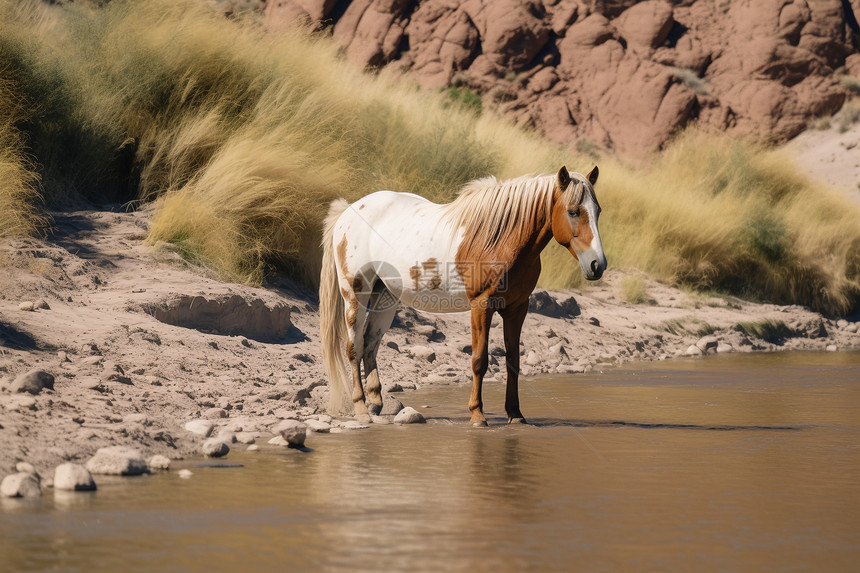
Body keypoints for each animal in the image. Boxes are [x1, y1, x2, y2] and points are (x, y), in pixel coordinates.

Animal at [320, 165, 608, 424]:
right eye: (573, 211)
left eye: (598, 211)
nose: (598, 265)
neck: (500, 240)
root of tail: (348, 211)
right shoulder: (481, 305)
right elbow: (479, 360)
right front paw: (477, 415)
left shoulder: (517, 308)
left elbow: (513, 360)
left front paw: (515, 414)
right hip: (355, 295)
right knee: (354, 348)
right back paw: (361, 409)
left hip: (385, 298)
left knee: (370, 345)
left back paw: (377, 404)